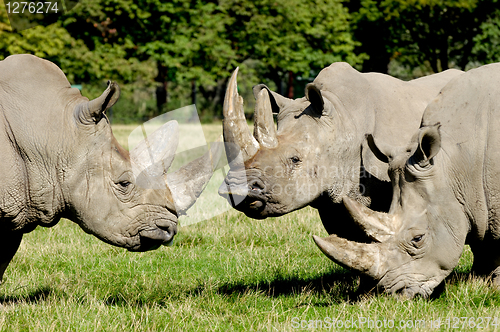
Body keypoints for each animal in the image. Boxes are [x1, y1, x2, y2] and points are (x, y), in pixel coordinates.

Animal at [312, 62, 500, 298]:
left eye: (417, 239)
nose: (394, 293)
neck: (457, 165)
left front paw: (494, 285)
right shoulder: (478, 197)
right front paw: (479, 282)